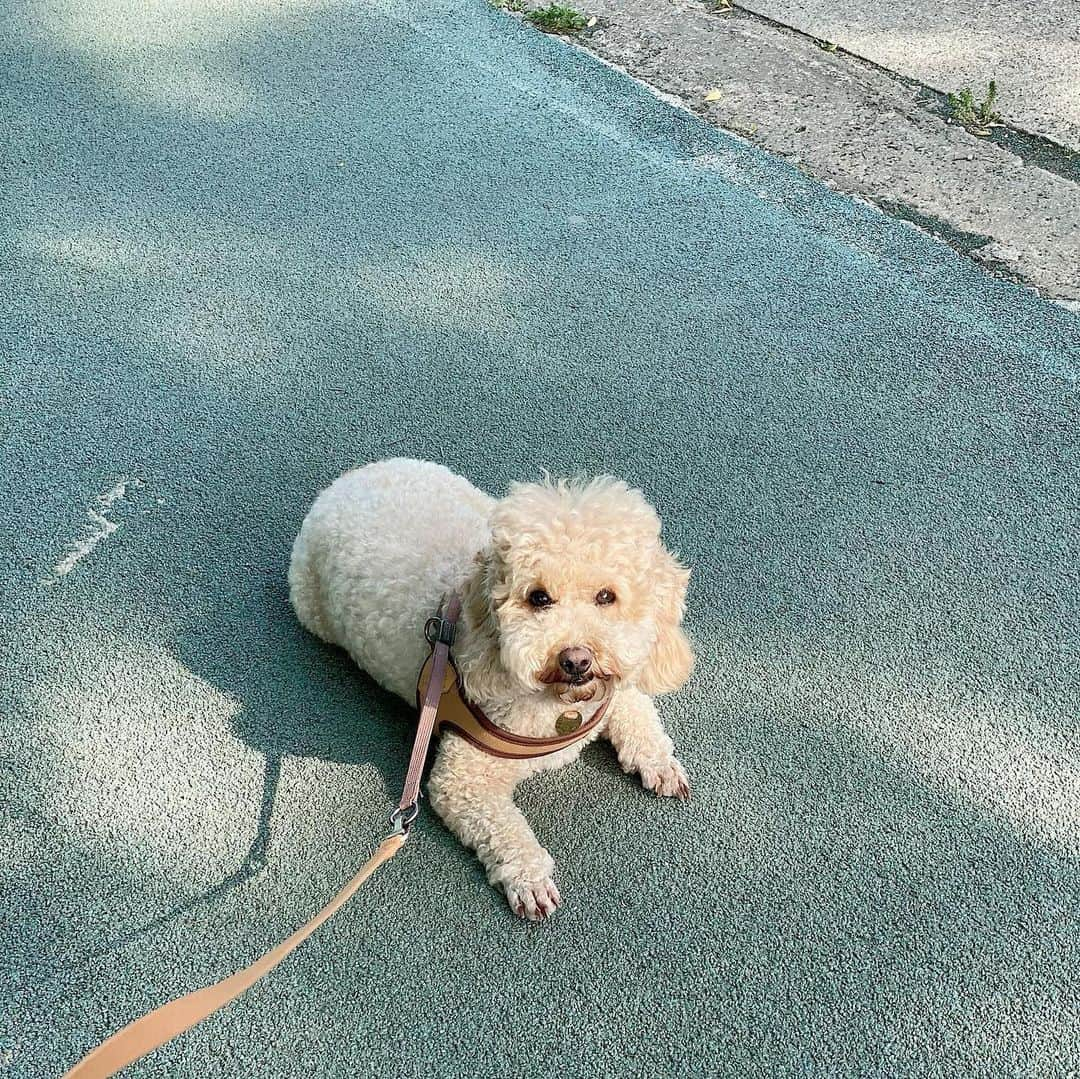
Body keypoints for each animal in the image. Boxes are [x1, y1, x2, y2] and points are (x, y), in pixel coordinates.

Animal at [289, 455, 691, 920]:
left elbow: (636, 708)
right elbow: (504, 827)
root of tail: (349, 478)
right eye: (538, 598)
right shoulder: (463, 779)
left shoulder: (612, 690)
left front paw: (659, 762)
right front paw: (529, 877)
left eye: (606, 597)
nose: (575, 660)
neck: (560, 707)